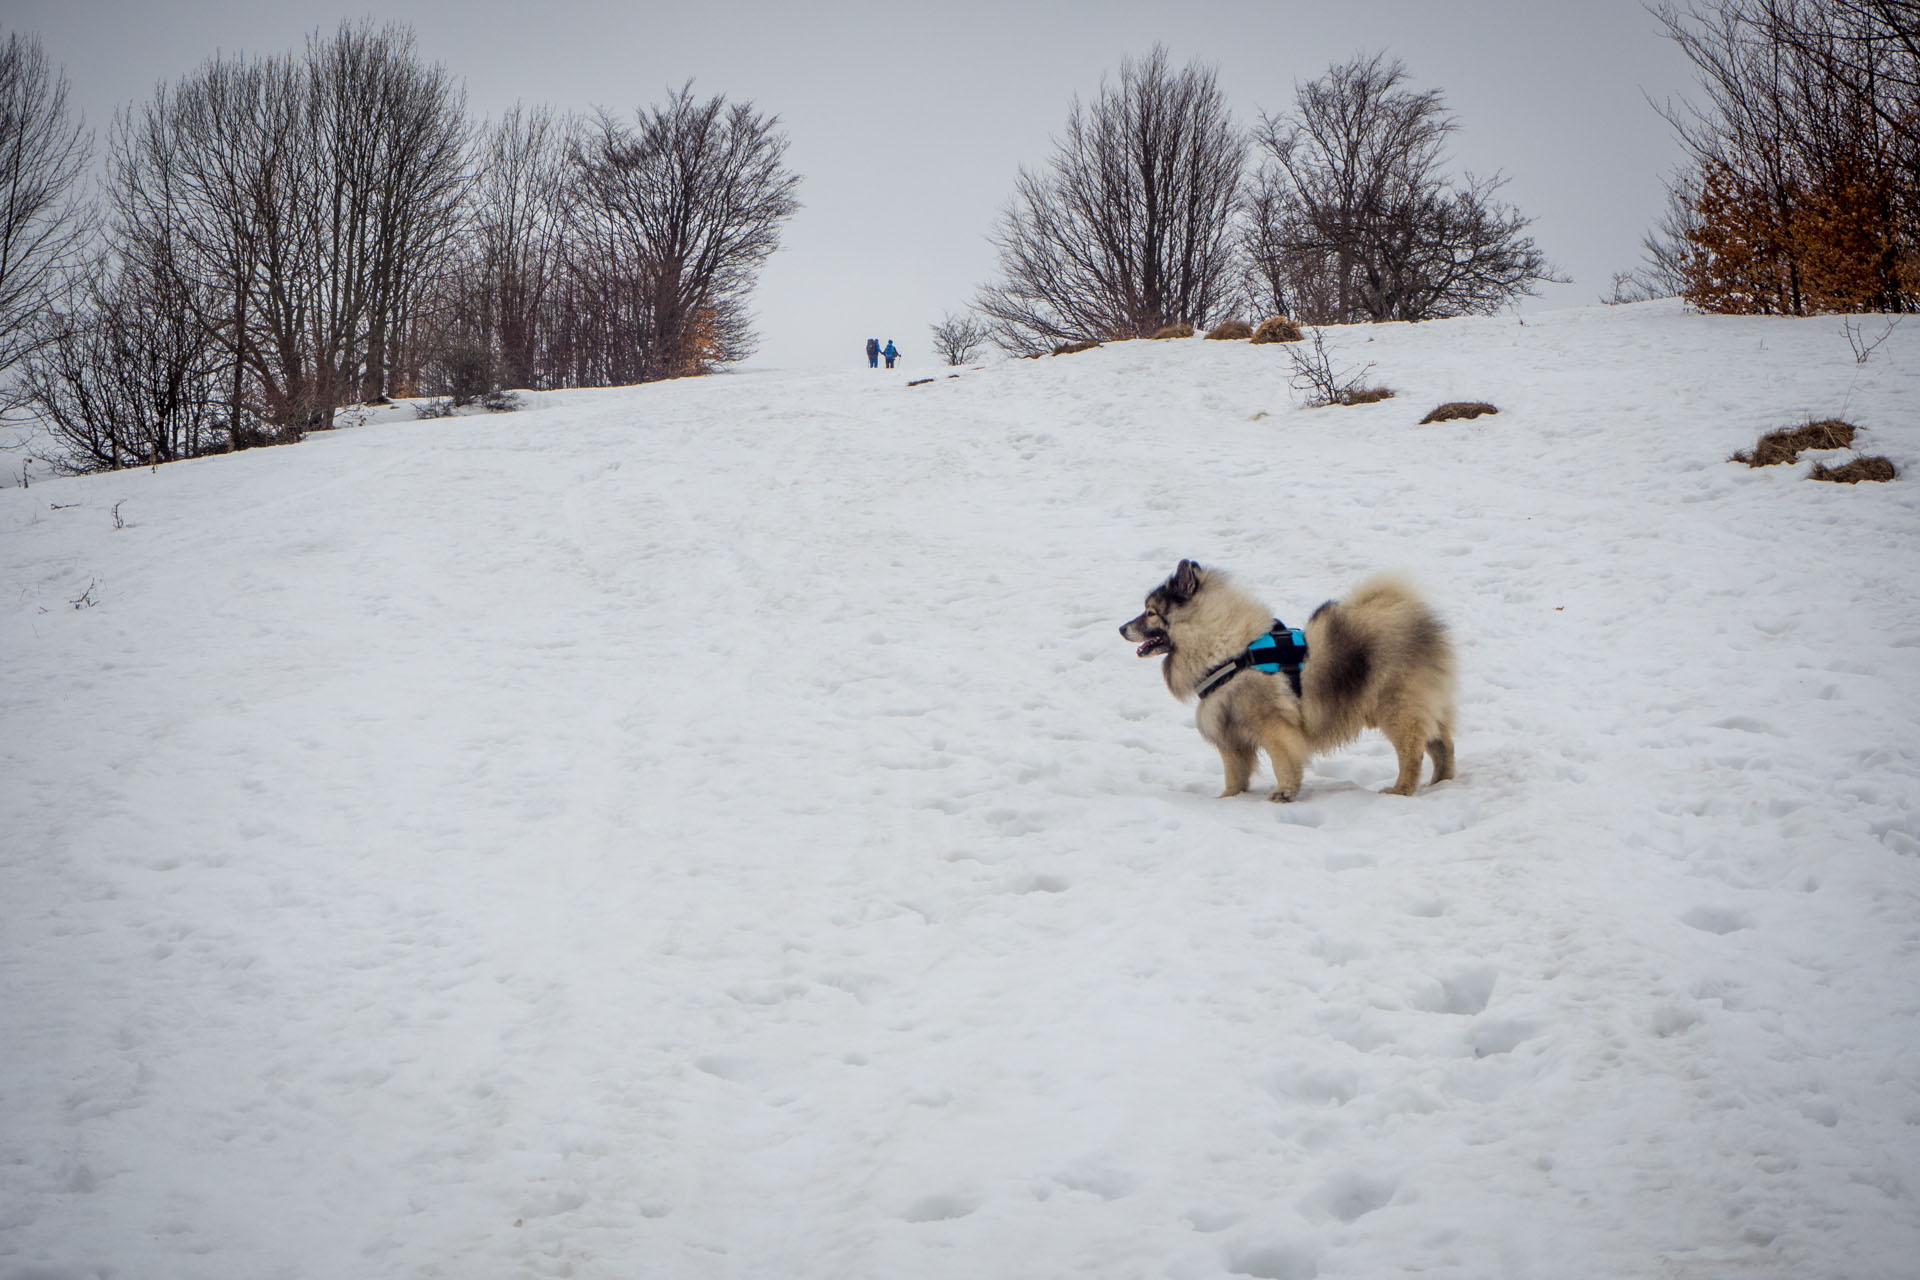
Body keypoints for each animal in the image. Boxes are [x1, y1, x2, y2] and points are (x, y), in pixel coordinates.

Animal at [1121, 560, 1459, 802]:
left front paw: (1283, 794)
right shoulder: (1231, 736)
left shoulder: (1272, 727)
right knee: (1443, 746)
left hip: (1396, 708)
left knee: (1412, 752)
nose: (1122, 628)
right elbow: (1235, 774)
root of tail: (1412, 615)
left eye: (1150, 613)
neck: (1227, 651)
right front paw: (1229, 799)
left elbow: (1282, 762)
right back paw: (1441, 783)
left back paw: (1401, 790)